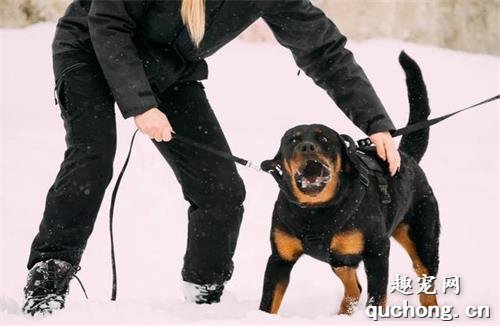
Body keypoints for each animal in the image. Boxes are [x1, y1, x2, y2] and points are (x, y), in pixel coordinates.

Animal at [260, 52, 440, 314]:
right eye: (292, 140)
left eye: (324, 139)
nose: (306, 147)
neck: (315, 211)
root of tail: (406, 158)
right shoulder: (279, 258)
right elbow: (269, 301)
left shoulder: (377, 250)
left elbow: (378, 297)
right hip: (340, 257)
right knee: (354, 287)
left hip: (423, 237)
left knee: (427, 282)